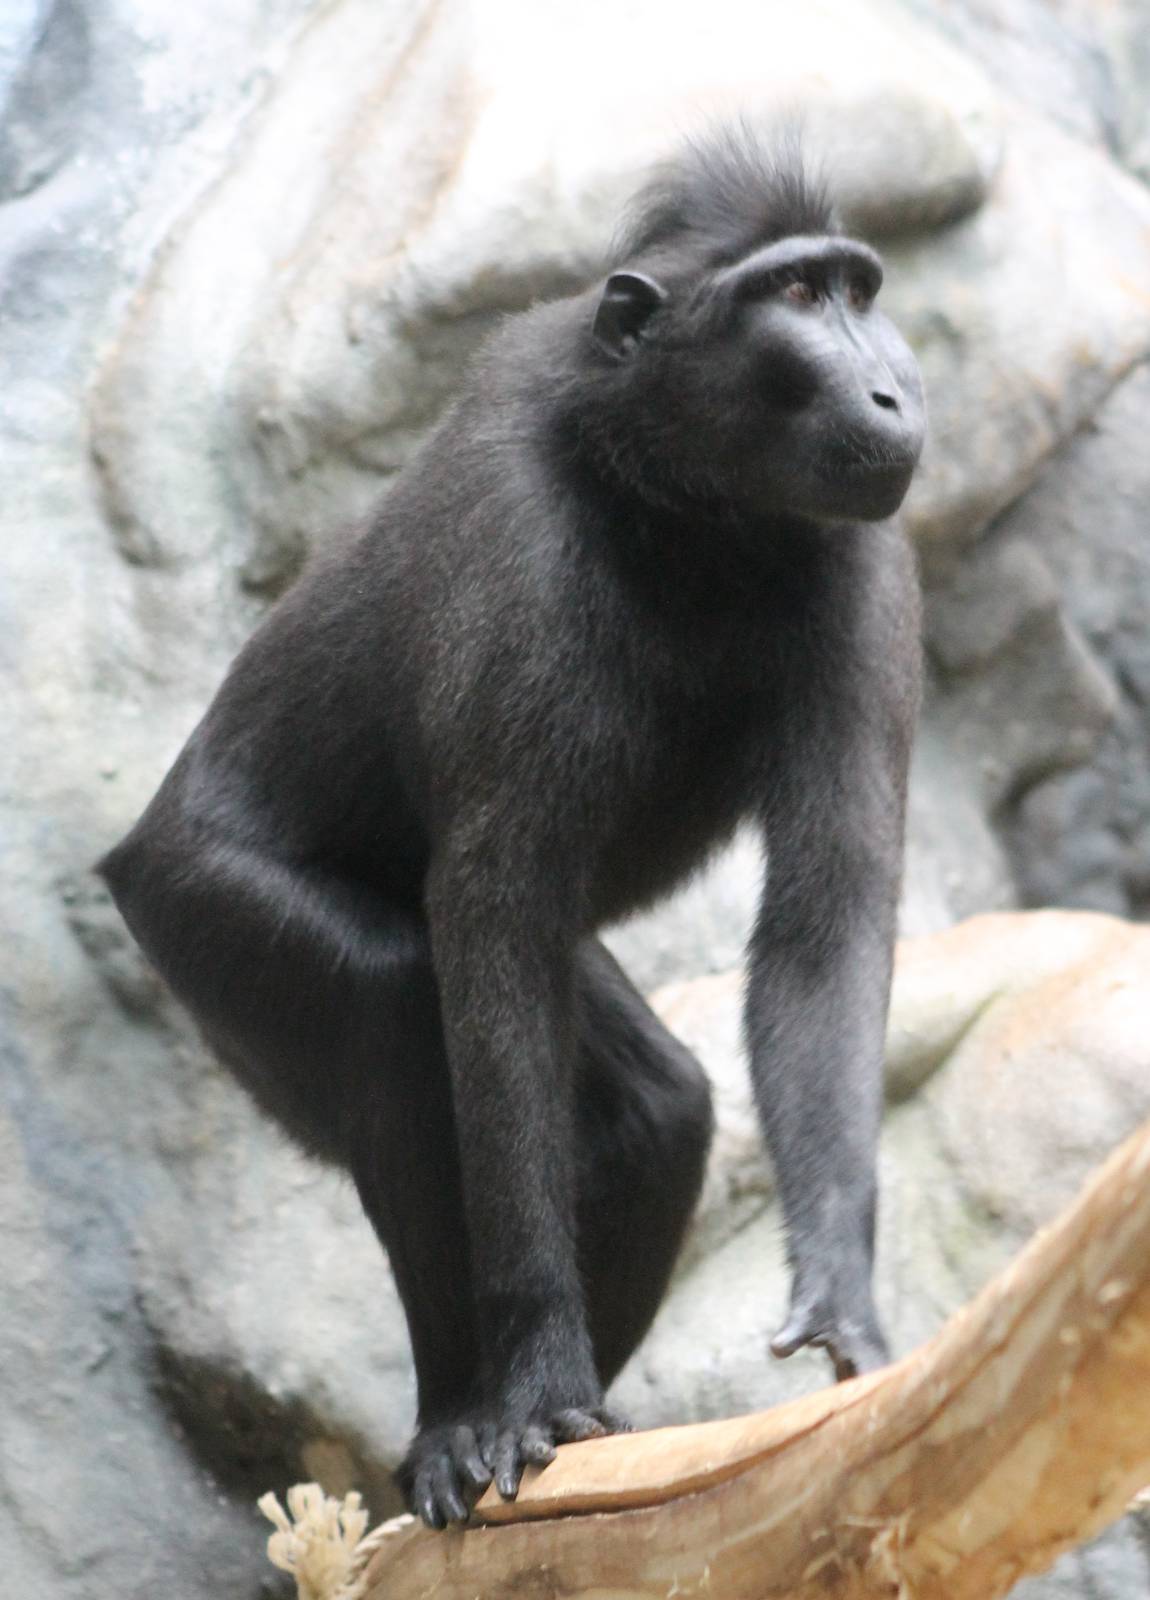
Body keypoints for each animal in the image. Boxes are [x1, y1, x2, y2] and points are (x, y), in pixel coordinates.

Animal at [99, 125, 925, 1530]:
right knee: (392, 1004)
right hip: (198, 912)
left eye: (857, 288)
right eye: (795, 294)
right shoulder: (515, 541)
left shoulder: (859, 561)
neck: (679, 498)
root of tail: (131, 857)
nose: (895, 391)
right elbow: (494, 910)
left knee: (657, 1114)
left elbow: (826, 916)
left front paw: (840, 1296)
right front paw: (535, 1381)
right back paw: (459, 1418)